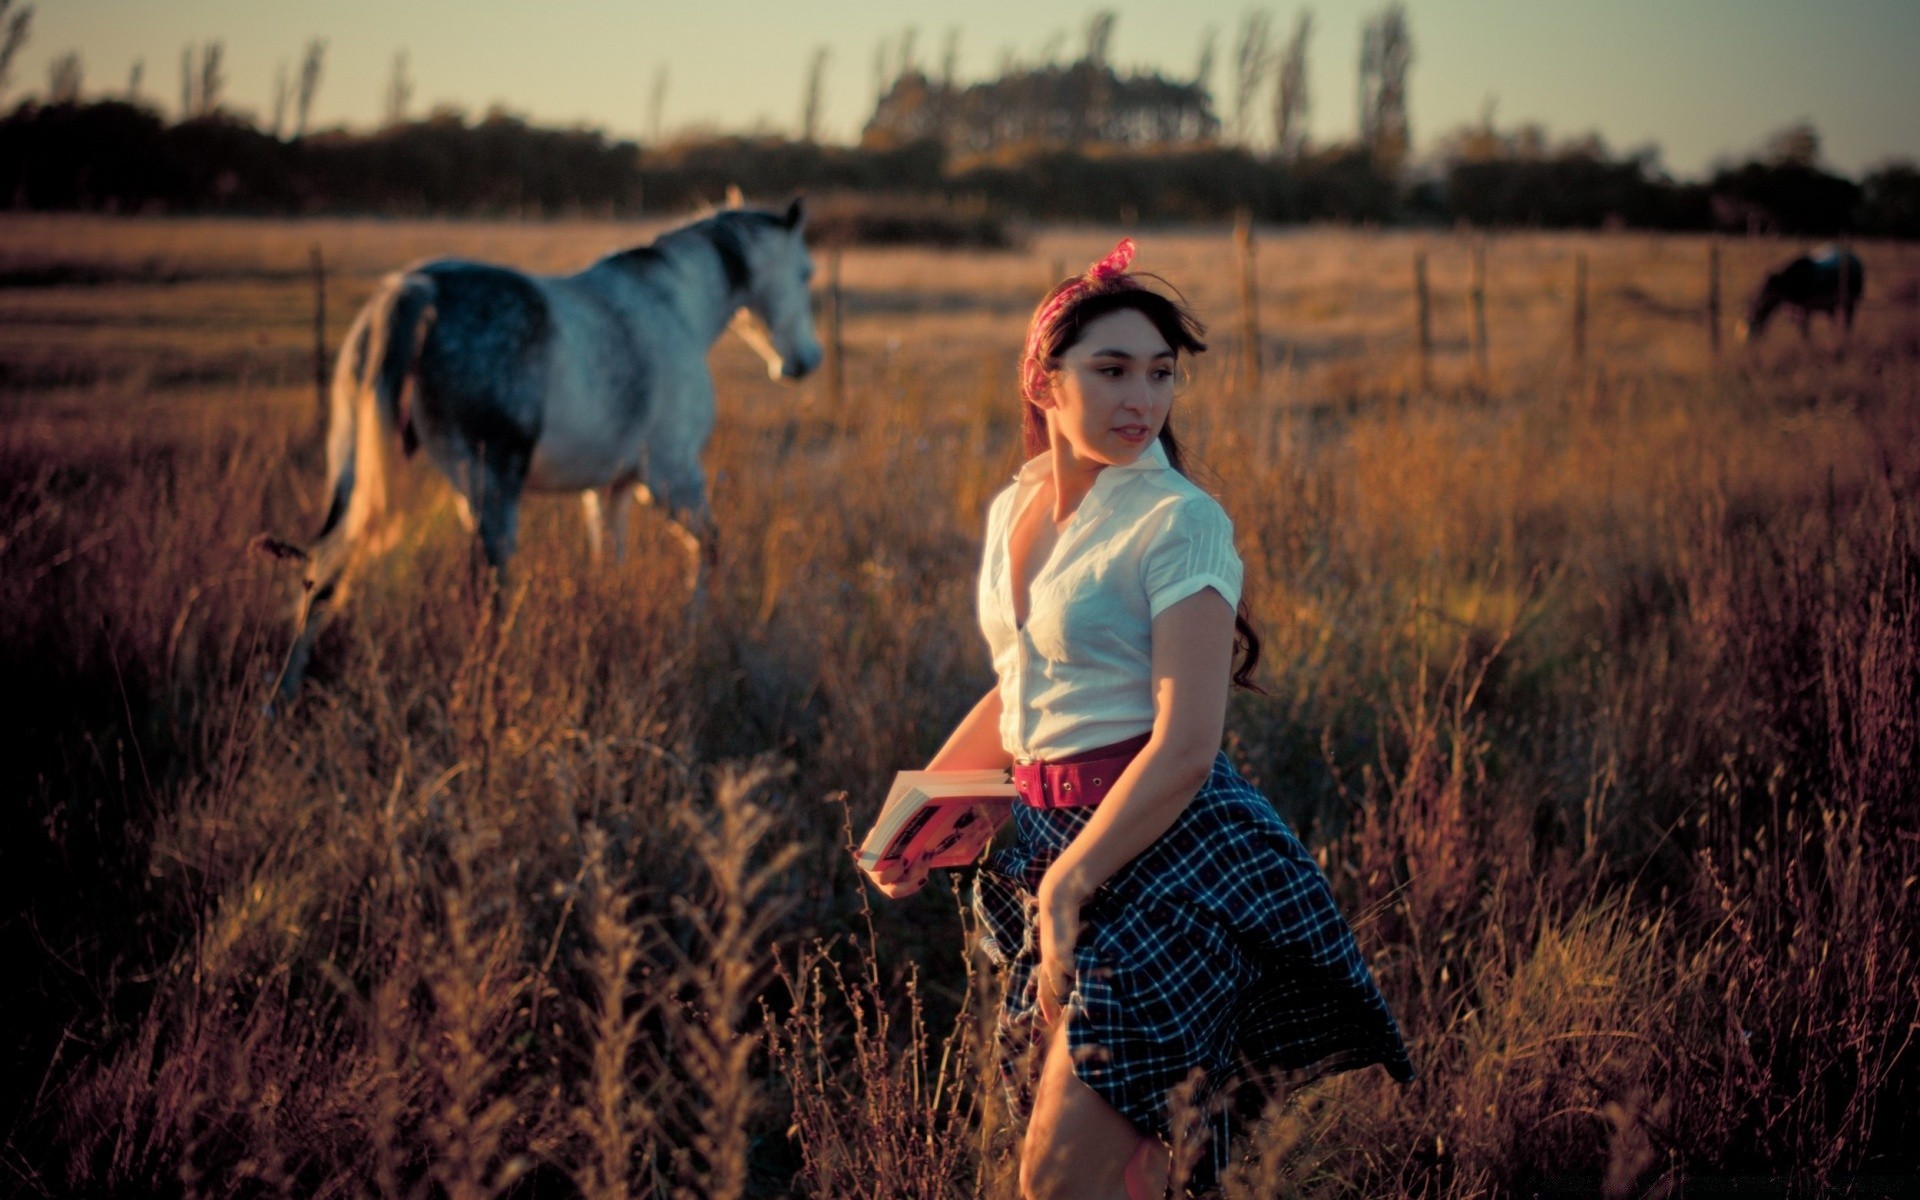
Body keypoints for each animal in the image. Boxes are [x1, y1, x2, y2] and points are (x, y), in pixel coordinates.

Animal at [268, 201, 817, 698]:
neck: (674, 304)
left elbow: (608, 561)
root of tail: (417, 288)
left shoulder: (609, 489)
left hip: (369, 481)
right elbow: (710, 548)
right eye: (806, 273)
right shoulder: (672, 476)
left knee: (324, 575)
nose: (807, 360)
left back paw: (283, 698)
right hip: (493, 491)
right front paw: (694, 633)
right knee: (488, 589)